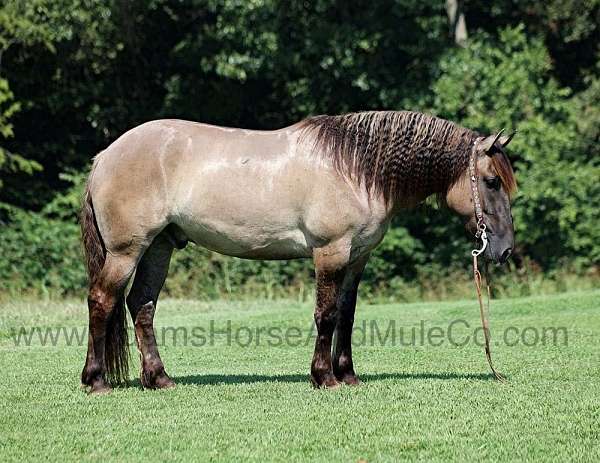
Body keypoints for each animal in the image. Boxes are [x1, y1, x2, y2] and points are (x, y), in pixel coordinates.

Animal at [81, 110, 516, 394]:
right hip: (126, 251)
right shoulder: (331, 253)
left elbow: (347, 316)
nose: (505, 249)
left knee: (142, 306)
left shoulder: (356, 259)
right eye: (491, 181)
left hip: (158, 247)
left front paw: (348, 375)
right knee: (102, 300)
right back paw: (96, 380)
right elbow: (326, 315)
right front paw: (324, 377)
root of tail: (104, 157)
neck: (354, 168)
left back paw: (159, 379)